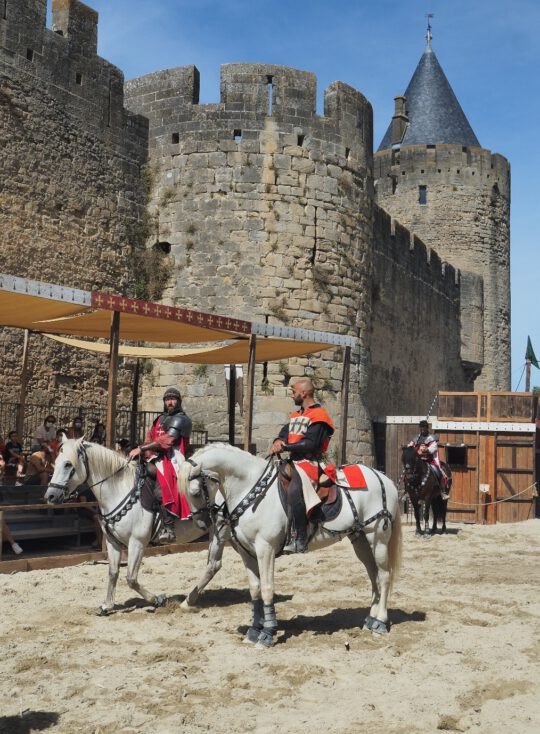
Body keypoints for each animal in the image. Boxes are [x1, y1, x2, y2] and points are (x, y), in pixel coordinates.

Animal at [43, 442, 226, 616]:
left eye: (68, 464)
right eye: (55, 463)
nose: (50, 496)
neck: (118, 489)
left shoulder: (137, 542)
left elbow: (131, 578)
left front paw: (157, 599)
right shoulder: (112, 542)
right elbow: (113, 572)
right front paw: (107, 605)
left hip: (221, 529)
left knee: (213, 565)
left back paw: (189, 601)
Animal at [179, 446, 402, 648]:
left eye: (196, 492)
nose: (201, 524)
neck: (250, 489)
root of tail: (383, 478)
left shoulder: (265, 549)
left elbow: (267, 588)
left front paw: (267, 633)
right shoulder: (247, 553)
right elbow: (255, 589)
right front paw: (254, 630)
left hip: (378, 538)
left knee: (384, 576)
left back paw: (380, 622)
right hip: (361, 540)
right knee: (373, 575)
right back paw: (371, 620)